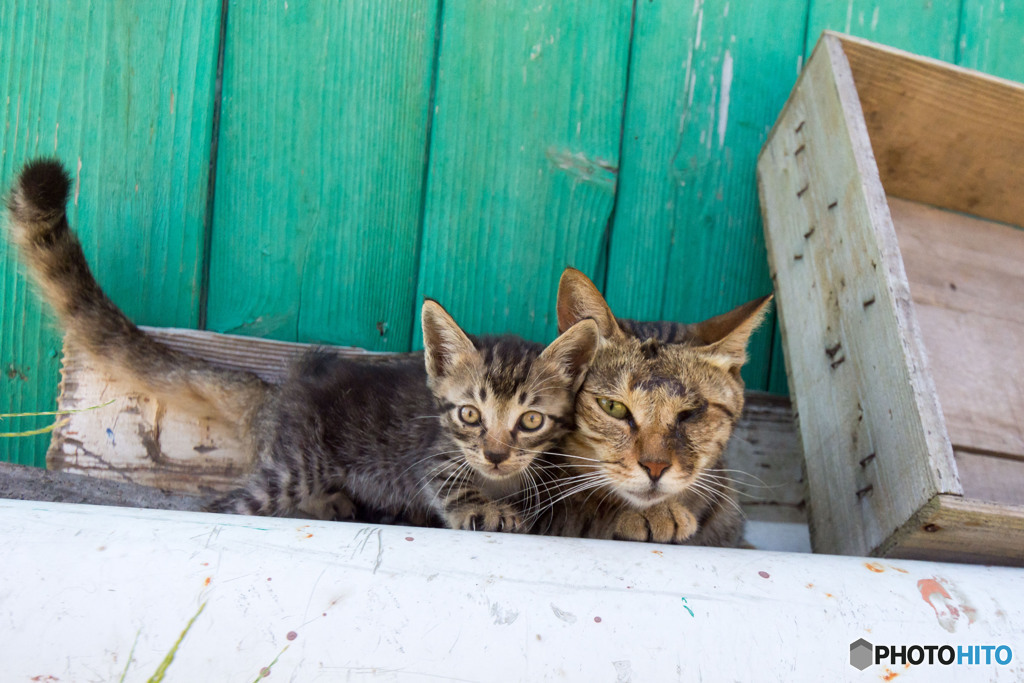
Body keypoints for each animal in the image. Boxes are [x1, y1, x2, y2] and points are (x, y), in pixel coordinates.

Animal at [6, 160, 598, 532]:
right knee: (223, 504)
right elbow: (450, 484)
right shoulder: (431, 454)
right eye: (470, 415)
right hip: (293, 468)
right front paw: (486, 508)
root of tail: (274, 394)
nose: (496, 455)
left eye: (530, 421)